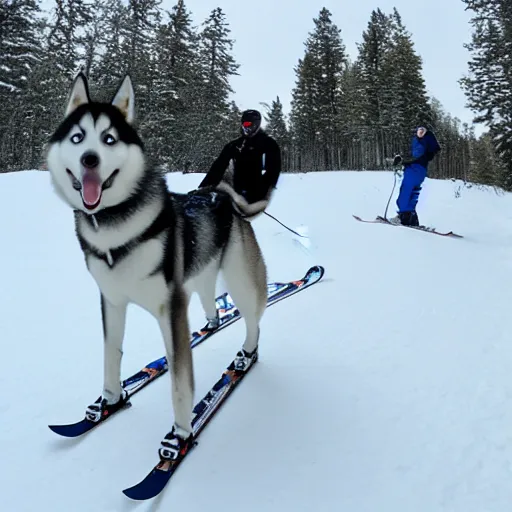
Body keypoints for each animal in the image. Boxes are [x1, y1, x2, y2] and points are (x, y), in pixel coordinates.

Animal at [46, 73, 268, 460]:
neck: (116, 232)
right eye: (77, 137)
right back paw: (212, 324)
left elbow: (180, 382)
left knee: (253, 321)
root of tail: (220, 194)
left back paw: (244, 358)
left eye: (109, 138)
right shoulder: (112, 302)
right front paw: (108, 403)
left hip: (242, 282)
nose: (90, 159)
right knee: (210, 301)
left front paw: (179, 437)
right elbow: (111, 356)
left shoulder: (172, 308)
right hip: (201, 273)